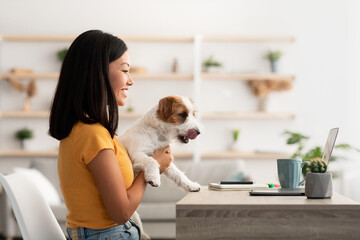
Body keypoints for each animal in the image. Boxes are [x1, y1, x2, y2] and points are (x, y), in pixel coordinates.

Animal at [118, 94, 202, 239]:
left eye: (193, 114)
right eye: (182, 114)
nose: (198, 132)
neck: (157, 133)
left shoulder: (166, 161)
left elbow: (179, 175)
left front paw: (191, 185)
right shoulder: (138, 155)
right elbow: (152, 161)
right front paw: (154, 178)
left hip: (135, 217)